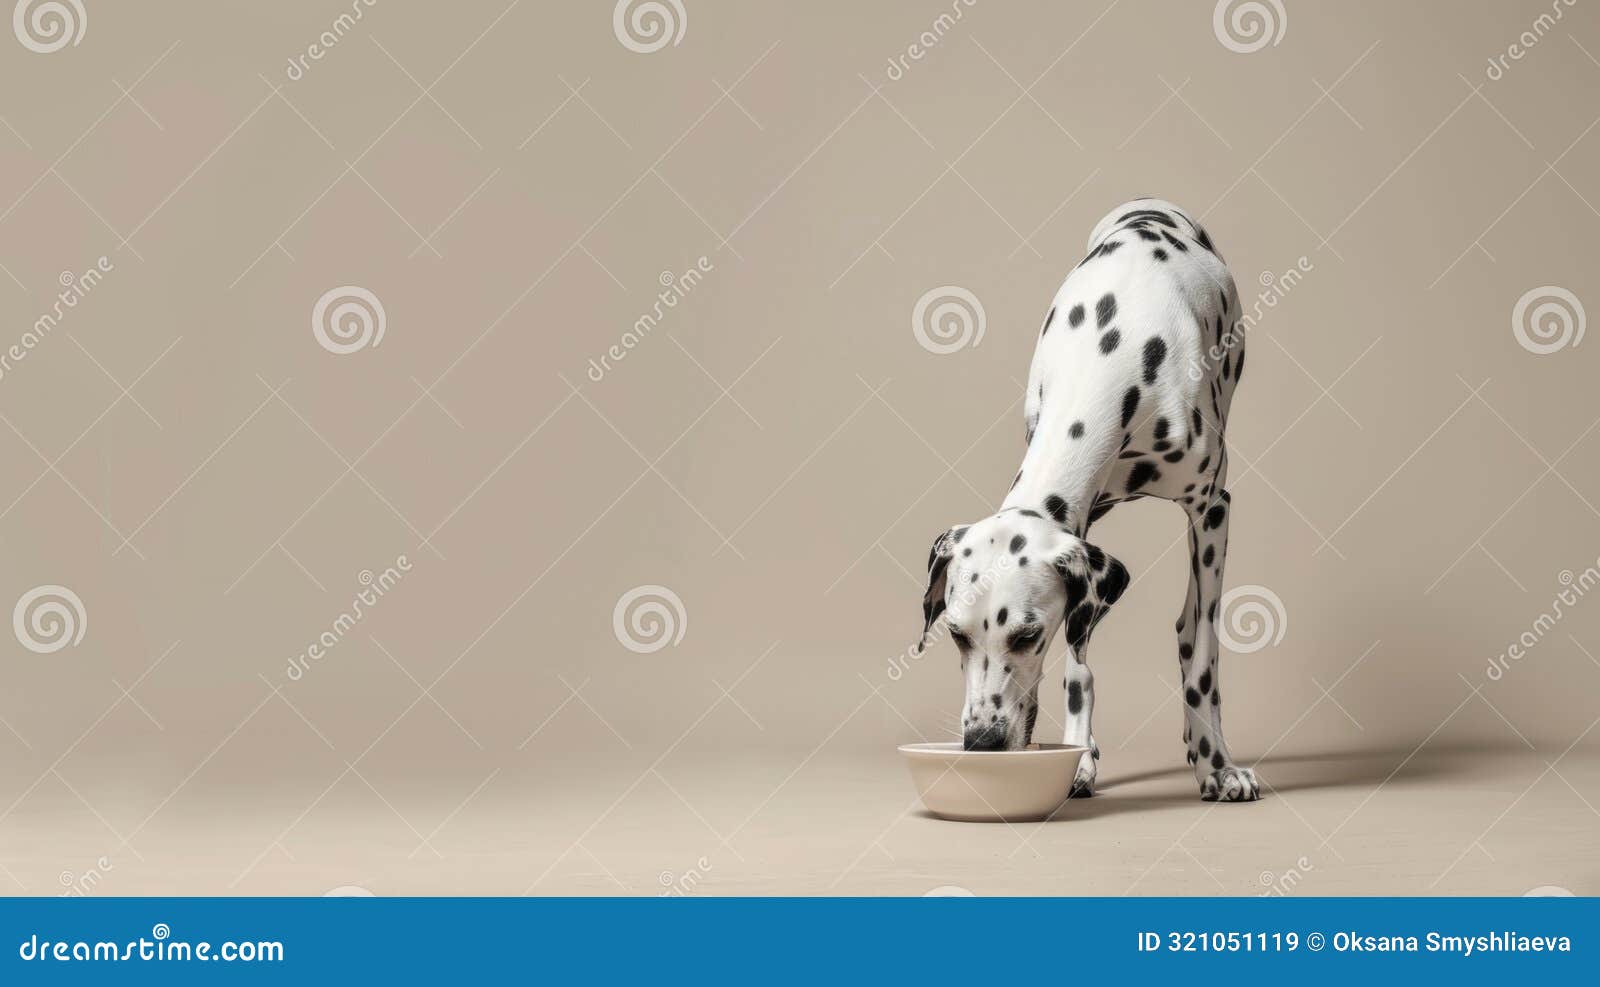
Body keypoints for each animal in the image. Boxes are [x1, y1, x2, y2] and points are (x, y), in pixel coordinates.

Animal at [921, 198, 1254, 799]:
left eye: (1028, 634)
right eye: (955, 634)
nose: (982, 742)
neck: (1113, 357)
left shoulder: (1213, 508)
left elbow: (1202, 651)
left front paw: (1216, 766)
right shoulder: (1080, 526)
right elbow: (1078, 662)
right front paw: (1077, 759)